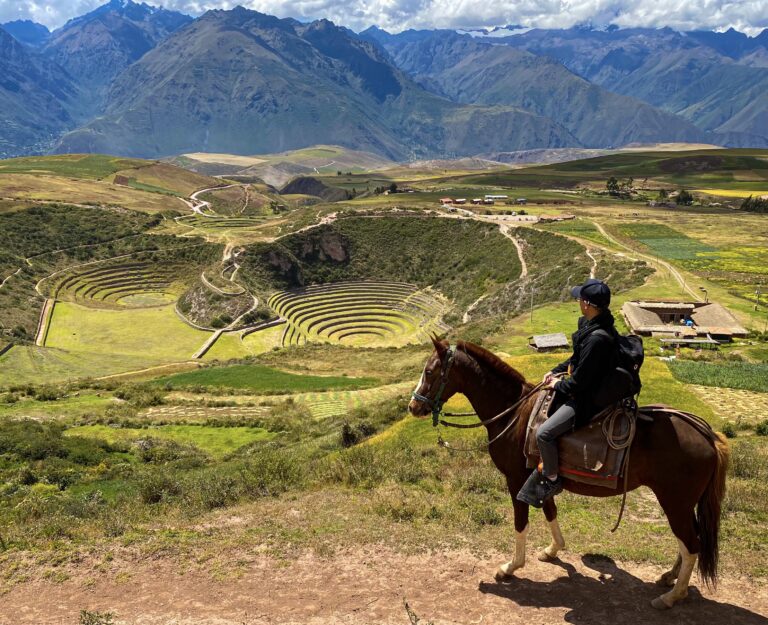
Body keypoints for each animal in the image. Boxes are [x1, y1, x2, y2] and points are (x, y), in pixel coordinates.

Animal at [404, 336, 728, 608]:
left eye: (430, 372)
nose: (413, 407)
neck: (514, 414)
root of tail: (708, 436)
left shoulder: (516, 480)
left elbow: (521, 523)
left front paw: (510, 567)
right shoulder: (540, 477)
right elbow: (550, 511)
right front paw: (553, 550)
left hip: (675, 501)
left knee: (691, 544)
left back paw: (672, 596)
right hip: (681, 504)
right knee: (689, 541)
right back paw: (669, 578)